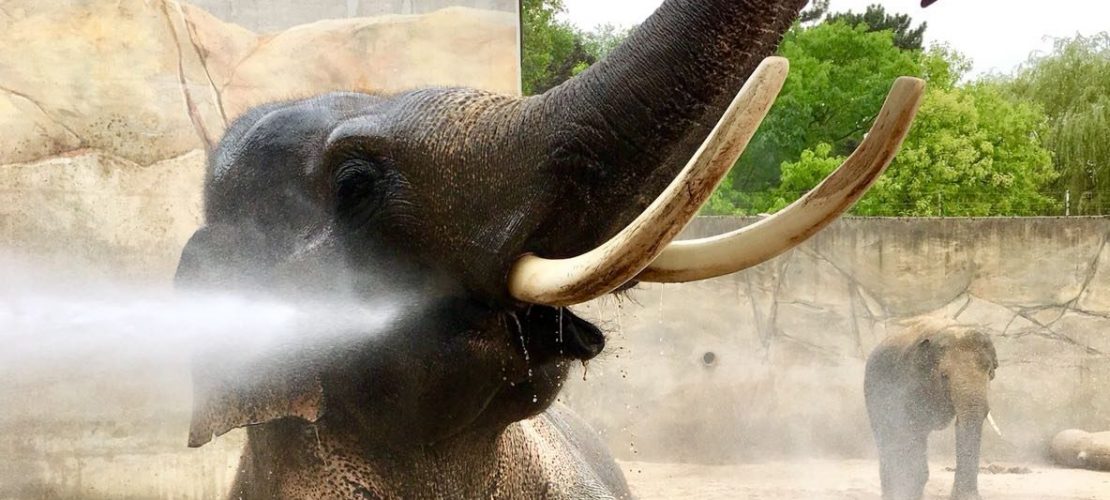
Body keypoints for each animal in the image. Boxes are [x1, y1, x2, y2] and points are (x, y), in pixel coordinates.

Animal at [864, 318, 1000, 500]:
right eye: (944, 376)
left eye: (990, 371)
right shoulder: (909, 381)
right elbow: (909, 428)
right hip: (873, 389)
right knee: (889, 435)